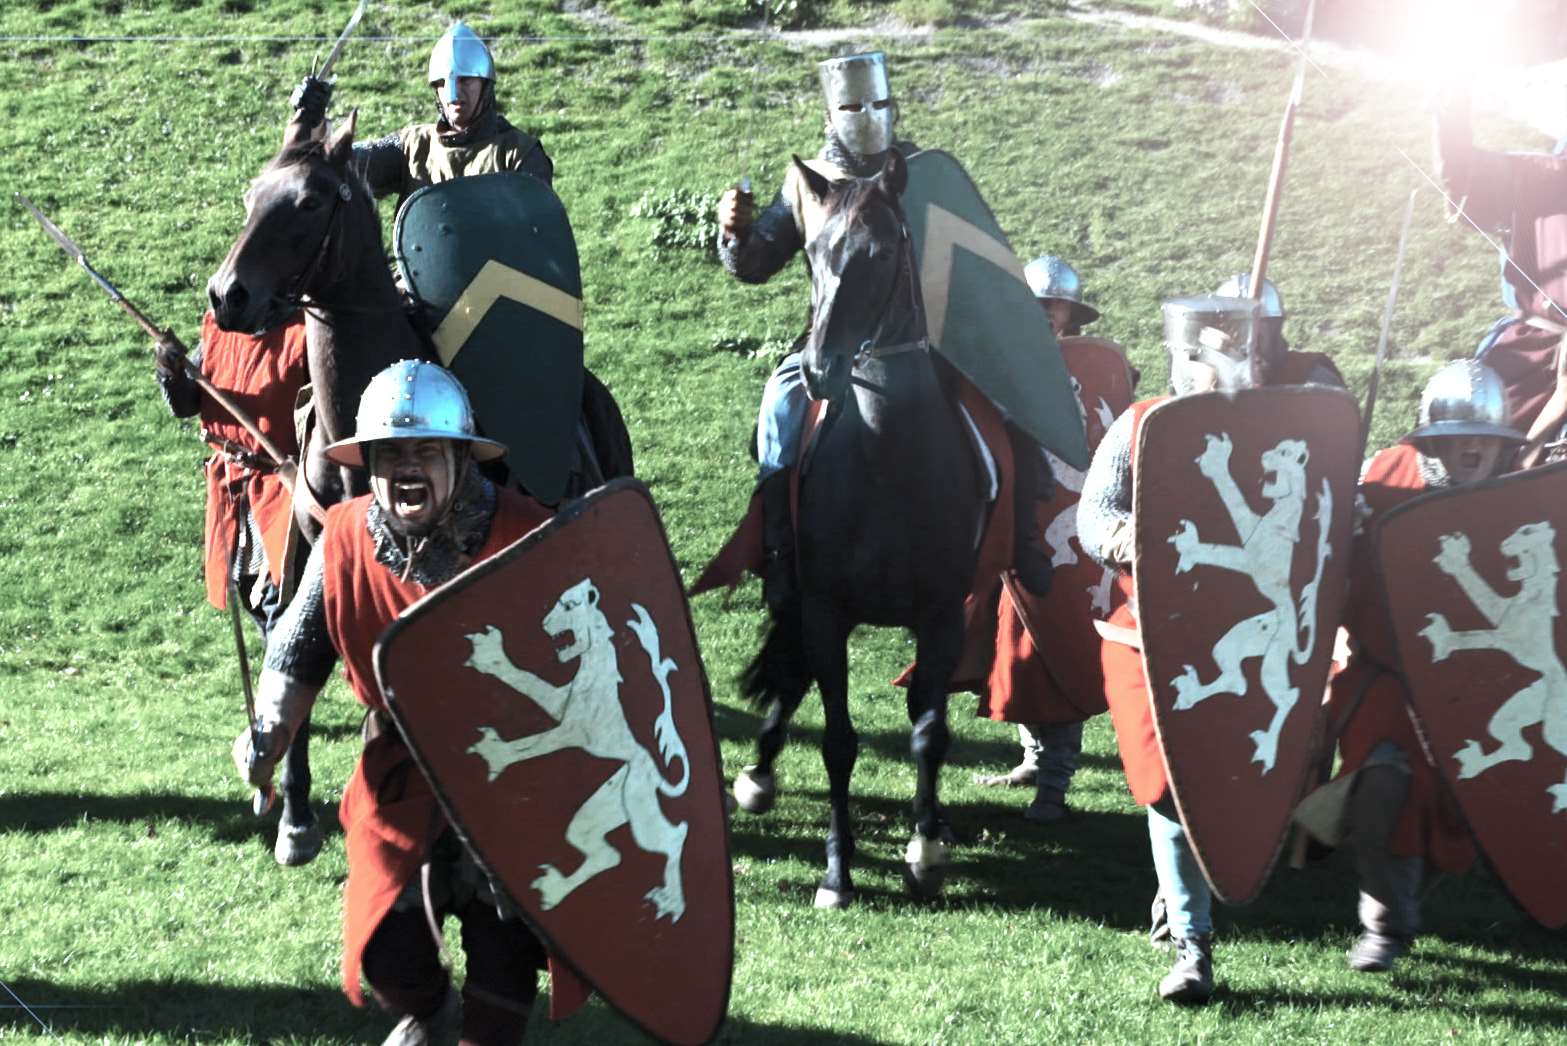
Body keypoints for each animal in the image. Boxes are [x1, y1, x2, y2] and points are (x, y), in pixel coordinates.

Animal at [730, 153, 984, 908]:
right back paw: (759, 772)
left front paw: (925, 850)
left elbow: (929, 733)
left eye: (882, 254)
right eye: (813, 254)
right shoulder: (825, 611)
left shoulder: (944, 613)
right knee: (793, 676)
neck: (890, 459)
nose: (820, 370)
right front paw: (837, 873)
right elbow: (839, 741)